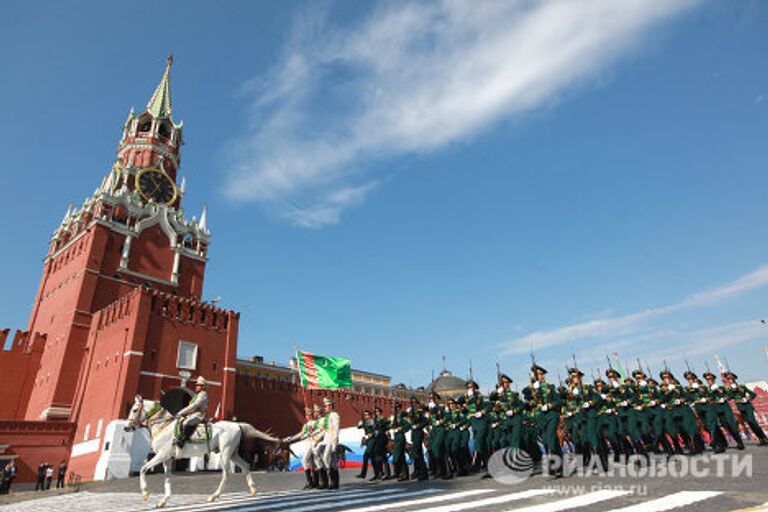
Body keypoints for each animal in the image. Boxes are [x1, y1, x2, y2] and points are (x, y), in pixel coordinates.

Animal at [124, 394, 280, 506]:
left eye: (135, 410)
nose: (126, 427)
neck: (163, 426)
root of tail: (237, 425)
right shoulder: (167, 459)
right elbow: (167, 478)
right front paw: (163, 500)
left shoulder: (161, 455)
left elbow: (143, 469)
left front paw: (145, 493)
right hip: (233, 454)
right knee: (246, 466)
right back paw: (253, 490)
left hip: (225, 453)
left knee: (226, 473)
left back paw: (214, 496)